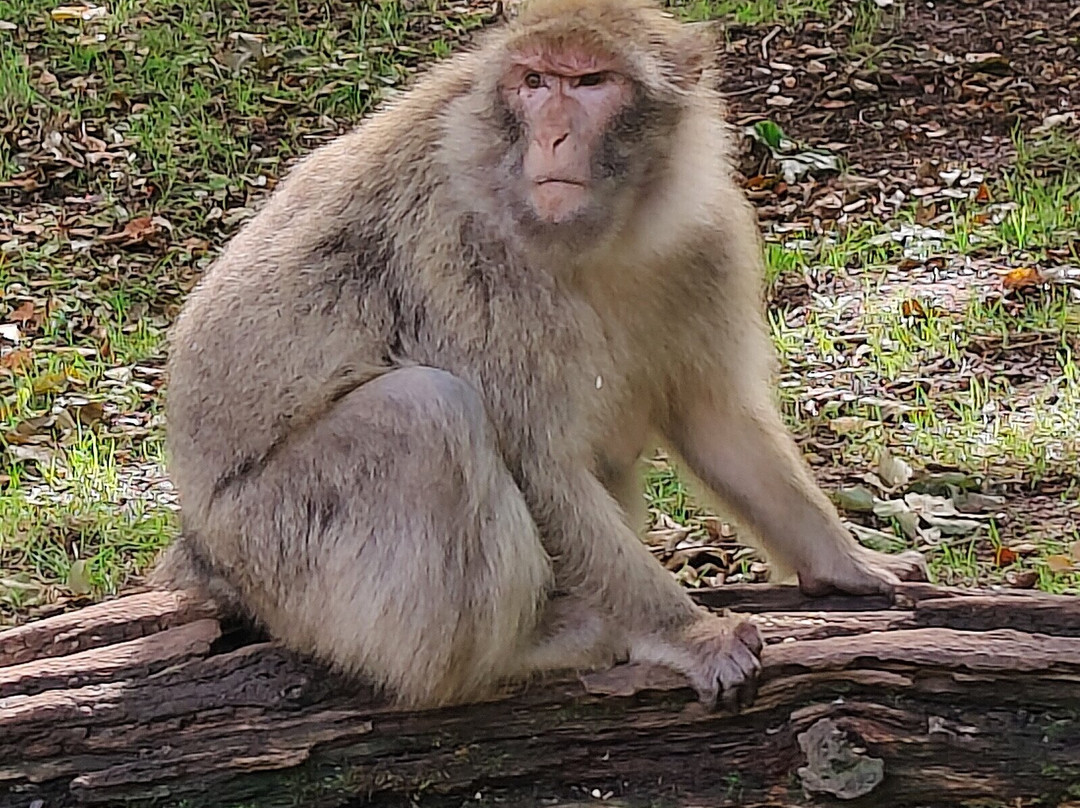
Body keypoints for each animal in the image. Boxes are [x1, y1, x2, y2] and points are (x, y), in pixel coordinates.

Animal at [155, 0, 928, 711]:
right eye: (534, 81)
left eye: (589, 81)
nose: (553, 133)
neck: (608, 234)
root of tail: (203, 551)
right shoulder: (471, 253)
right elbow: (539, 464)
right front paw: (684, 632)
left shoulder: (705, 236)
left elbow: (715, 421)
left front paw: (844, 559)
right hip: (276, 556)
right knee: (425, 413)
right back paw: (510, 655)